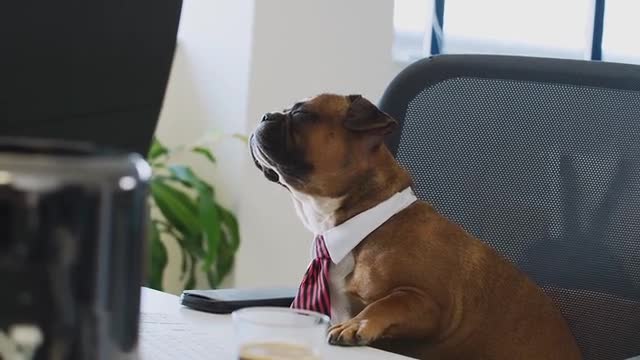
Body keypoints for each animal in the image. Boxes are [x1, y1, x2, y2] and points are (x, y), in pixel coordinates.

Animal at [250, 94, 580, 358]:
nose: (265, 115)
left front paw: (358, 324)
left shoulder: (428, 303)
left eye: (302, 115)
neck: (366, 224)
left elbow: (388, 303)